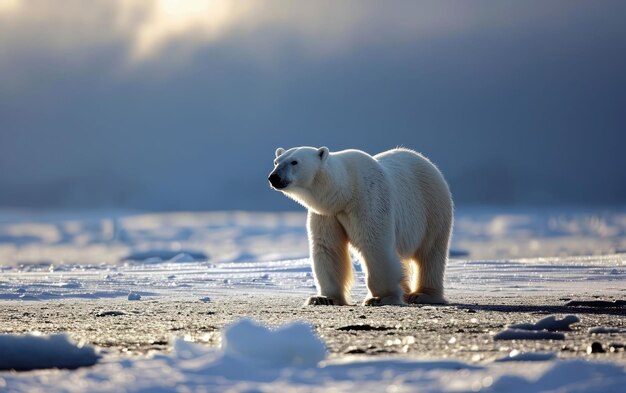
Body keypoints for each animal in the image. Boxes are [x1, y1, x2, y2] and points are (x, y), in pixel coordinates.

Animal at [266, 145, 450, 304]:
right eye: (276, 162)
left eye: (294, 162)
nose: (274, 177)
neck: (345, 192)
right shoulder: (327, 214)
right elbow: (328, 248)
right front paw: (323, 298)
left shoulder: (368, 201)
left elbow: (375, 246)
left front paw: (380, 298)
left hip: (432, 207)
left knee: (430, 252)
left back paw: (422, 294)